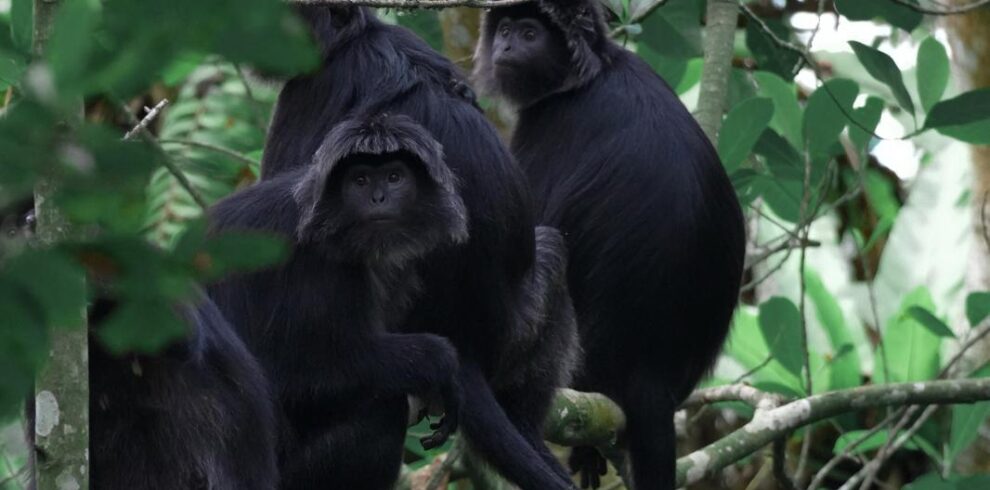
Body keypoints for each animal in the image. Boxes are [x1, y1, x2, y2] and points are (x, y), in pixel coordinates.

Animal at [475, 2, 747, 488]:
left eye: (529, 34)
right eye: (505, 30)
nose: (505, 47)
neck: (593, 72)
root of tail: (652, 367)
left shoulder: (550, 121)